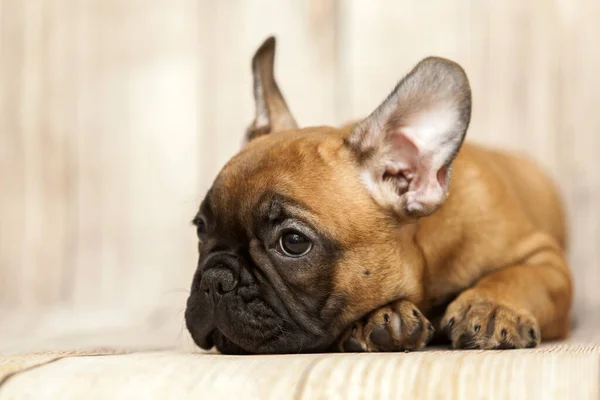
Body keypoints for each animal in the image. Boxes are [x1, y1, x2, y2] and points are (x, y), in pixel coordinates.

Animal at [185, 35, 576, 354]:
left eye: (293, 242)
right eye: (201, 228)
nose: (215, 280)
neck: (424, 256)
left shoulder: (546, 260)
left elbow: (519, 276)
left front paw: (492, 307)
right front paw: (385, 315)